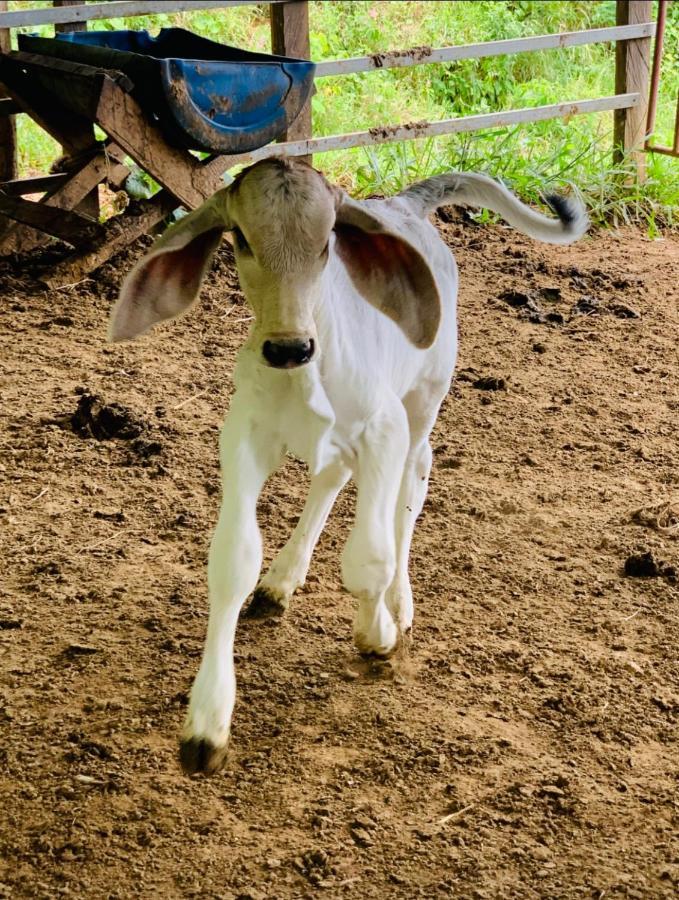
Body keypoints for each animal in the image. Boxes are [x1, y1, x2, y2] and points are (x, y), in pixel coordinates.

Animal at [109, 156, 588, 772]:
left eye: (325, 244)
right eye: (241, 239)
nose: (288, 347)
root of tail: (404, 204)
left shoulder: (384, 429)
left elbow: (369, 558)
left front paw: (377, 632)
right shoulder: (244, 438)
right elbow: (233, 561)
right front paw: (206, 724)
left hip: (424, 400)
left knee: (411, 487)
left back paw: (400, 603)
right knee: (331, 478)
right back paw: (281, 581)